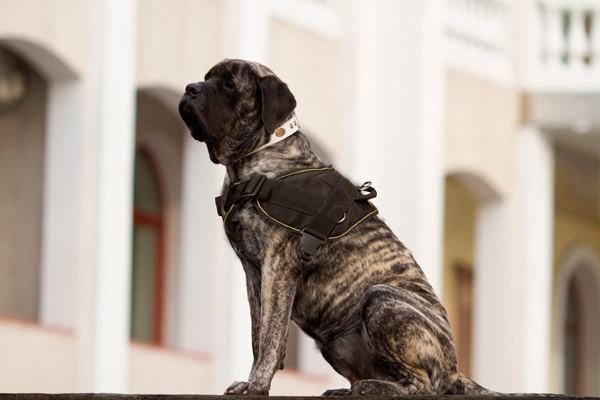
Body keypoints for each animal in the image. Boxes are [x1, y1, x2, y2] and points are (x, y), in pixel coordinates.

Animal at [178, 58, 492, 396]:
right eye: (207, 77)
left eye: (229, 85)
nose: (190, 88)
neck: (255, 166)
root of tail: (455, 370)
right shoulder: (253, 271)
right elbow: (257, 335)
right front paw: (252, 380)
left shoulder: (278, 265)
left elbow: (270, 336)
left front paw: (258, 384)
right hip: (338, 341)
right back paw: (350, 388)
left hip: (380, 298)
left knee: (423, 386)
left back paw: (371, 387)